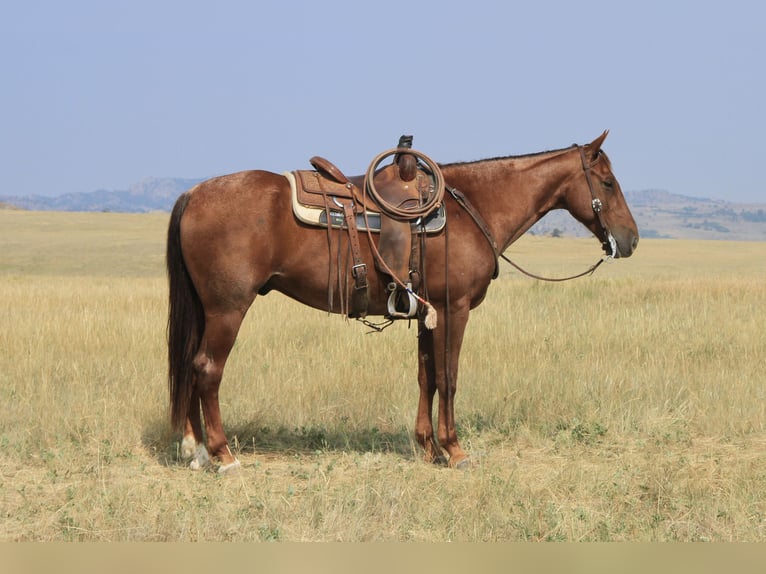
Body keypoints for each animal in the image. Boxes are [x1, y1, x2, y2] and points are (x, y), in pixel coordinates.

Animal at [170, 130, 640, 472]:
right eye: (607, 182)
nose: (631, 239)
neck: (472, 208)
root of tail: (194, 194)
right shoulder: (454, 309)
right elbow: (448, 378)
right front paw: (455, 450)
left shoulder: (428, 310)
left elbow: (426, 376)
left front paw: (428, 447)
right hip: (228, 309)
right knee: (207, 369)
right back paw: (223, 455)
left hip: (207, 310)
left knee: (191, 364)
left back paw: (195, 450)